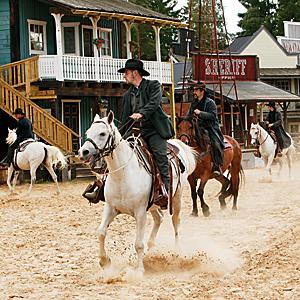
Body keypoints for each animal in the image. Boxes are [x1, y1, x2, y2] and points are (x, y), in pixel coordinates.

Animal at [78, 111, 198, 274]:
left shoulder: (140, 213)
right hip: (153, 205)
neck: (122, 174)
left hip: (176, 198)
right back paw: (152, 249)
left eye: (102, 133)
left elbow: (138, 244)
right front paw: (104, 261)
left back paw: (177, 253)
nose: (83, 152)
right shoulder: (110, 208)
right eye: (88, 132)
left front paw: (139, 270)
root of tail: (177, 145)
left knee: (176, 223)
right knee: (159, 218)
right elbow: (101, 232)